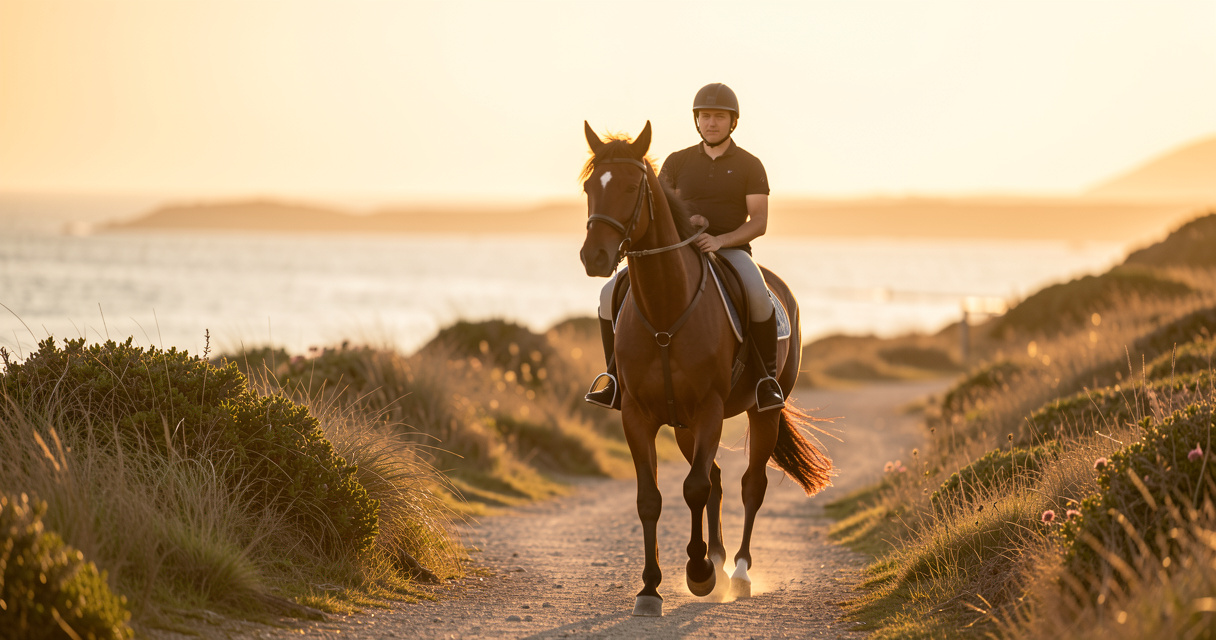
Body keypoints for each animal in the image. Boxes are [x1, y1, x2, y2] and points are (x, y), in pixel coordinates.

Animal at [578, 121, 834, 617]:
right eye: (589, 187)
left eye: (631, 187)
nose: (594, 257)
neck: (665, 307)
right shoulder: (638, 415)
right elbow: (651, 498)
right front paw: (651, 588)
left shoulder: (710, 409)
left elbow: (693, 489)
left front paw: (698, 573)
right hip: (683, 426)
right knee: (715, 478)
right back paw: (716, 558)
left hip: (762, 412)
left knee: (750, 485)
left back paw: (737, 572)